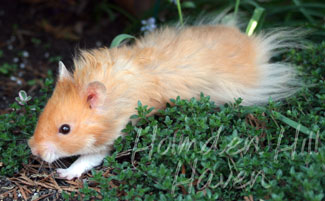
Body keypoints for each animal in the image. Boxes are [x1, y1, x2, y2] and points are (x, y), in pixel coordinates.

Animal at [27, 18, 302, 179]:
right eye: (42, 115)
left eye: (65, 129)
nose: (33, 150)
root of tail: (255, 43)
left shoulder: (114, 135)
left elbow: (88, 159)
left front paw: (62, 173)